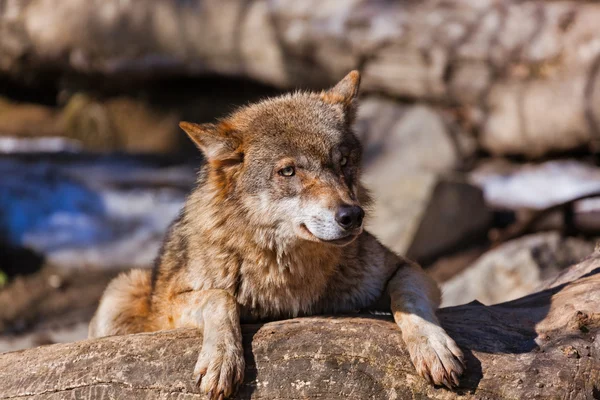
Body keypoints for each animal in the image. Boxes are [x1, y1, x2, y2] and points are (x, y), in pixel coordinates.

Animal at [88, 70, 464, 398]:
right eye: (288, 171)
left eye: (342, 162)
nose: (352, 216)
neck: (287, 273)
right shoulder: (168, 306)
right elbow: (220, 297)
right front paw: (222, 361)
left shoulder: (405, 268)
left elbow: (409, 298)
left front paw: (434, 347)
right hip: (121, 292)